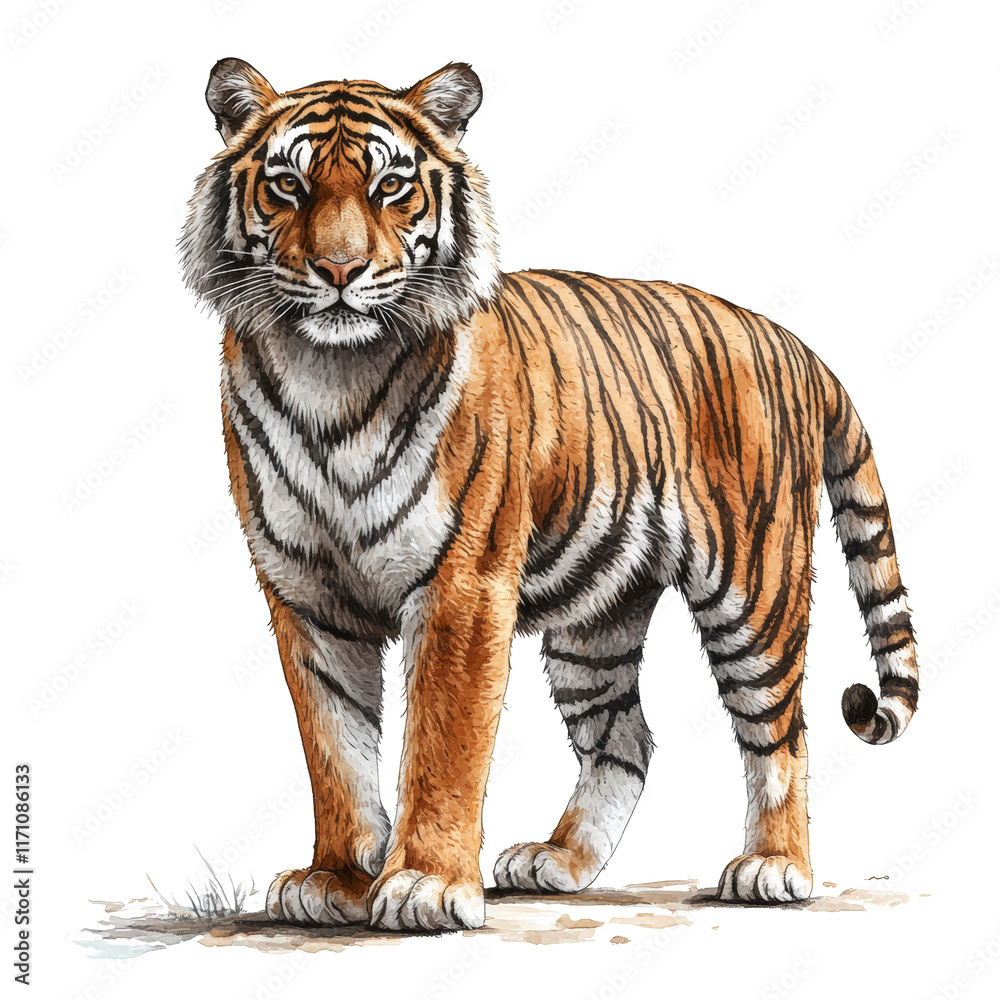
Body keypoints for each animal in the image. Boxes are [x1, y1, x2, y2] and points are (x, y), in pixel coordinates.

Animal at [180, 58, 919, 933]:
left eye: (391, 186)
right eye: (288, 186)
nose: (338, 272)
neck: (332, 377)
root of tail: (795, 344)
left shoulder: (463, 586)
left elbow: (443, 745)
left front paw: (425, 884)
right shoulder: (306, 592)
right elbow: (335, 747)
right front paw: (337, 880)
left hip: (753, 588)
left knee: (781, 734)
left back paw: (774, 867)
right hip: (593, 620)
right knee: (626, 740)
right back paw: (558, 860)